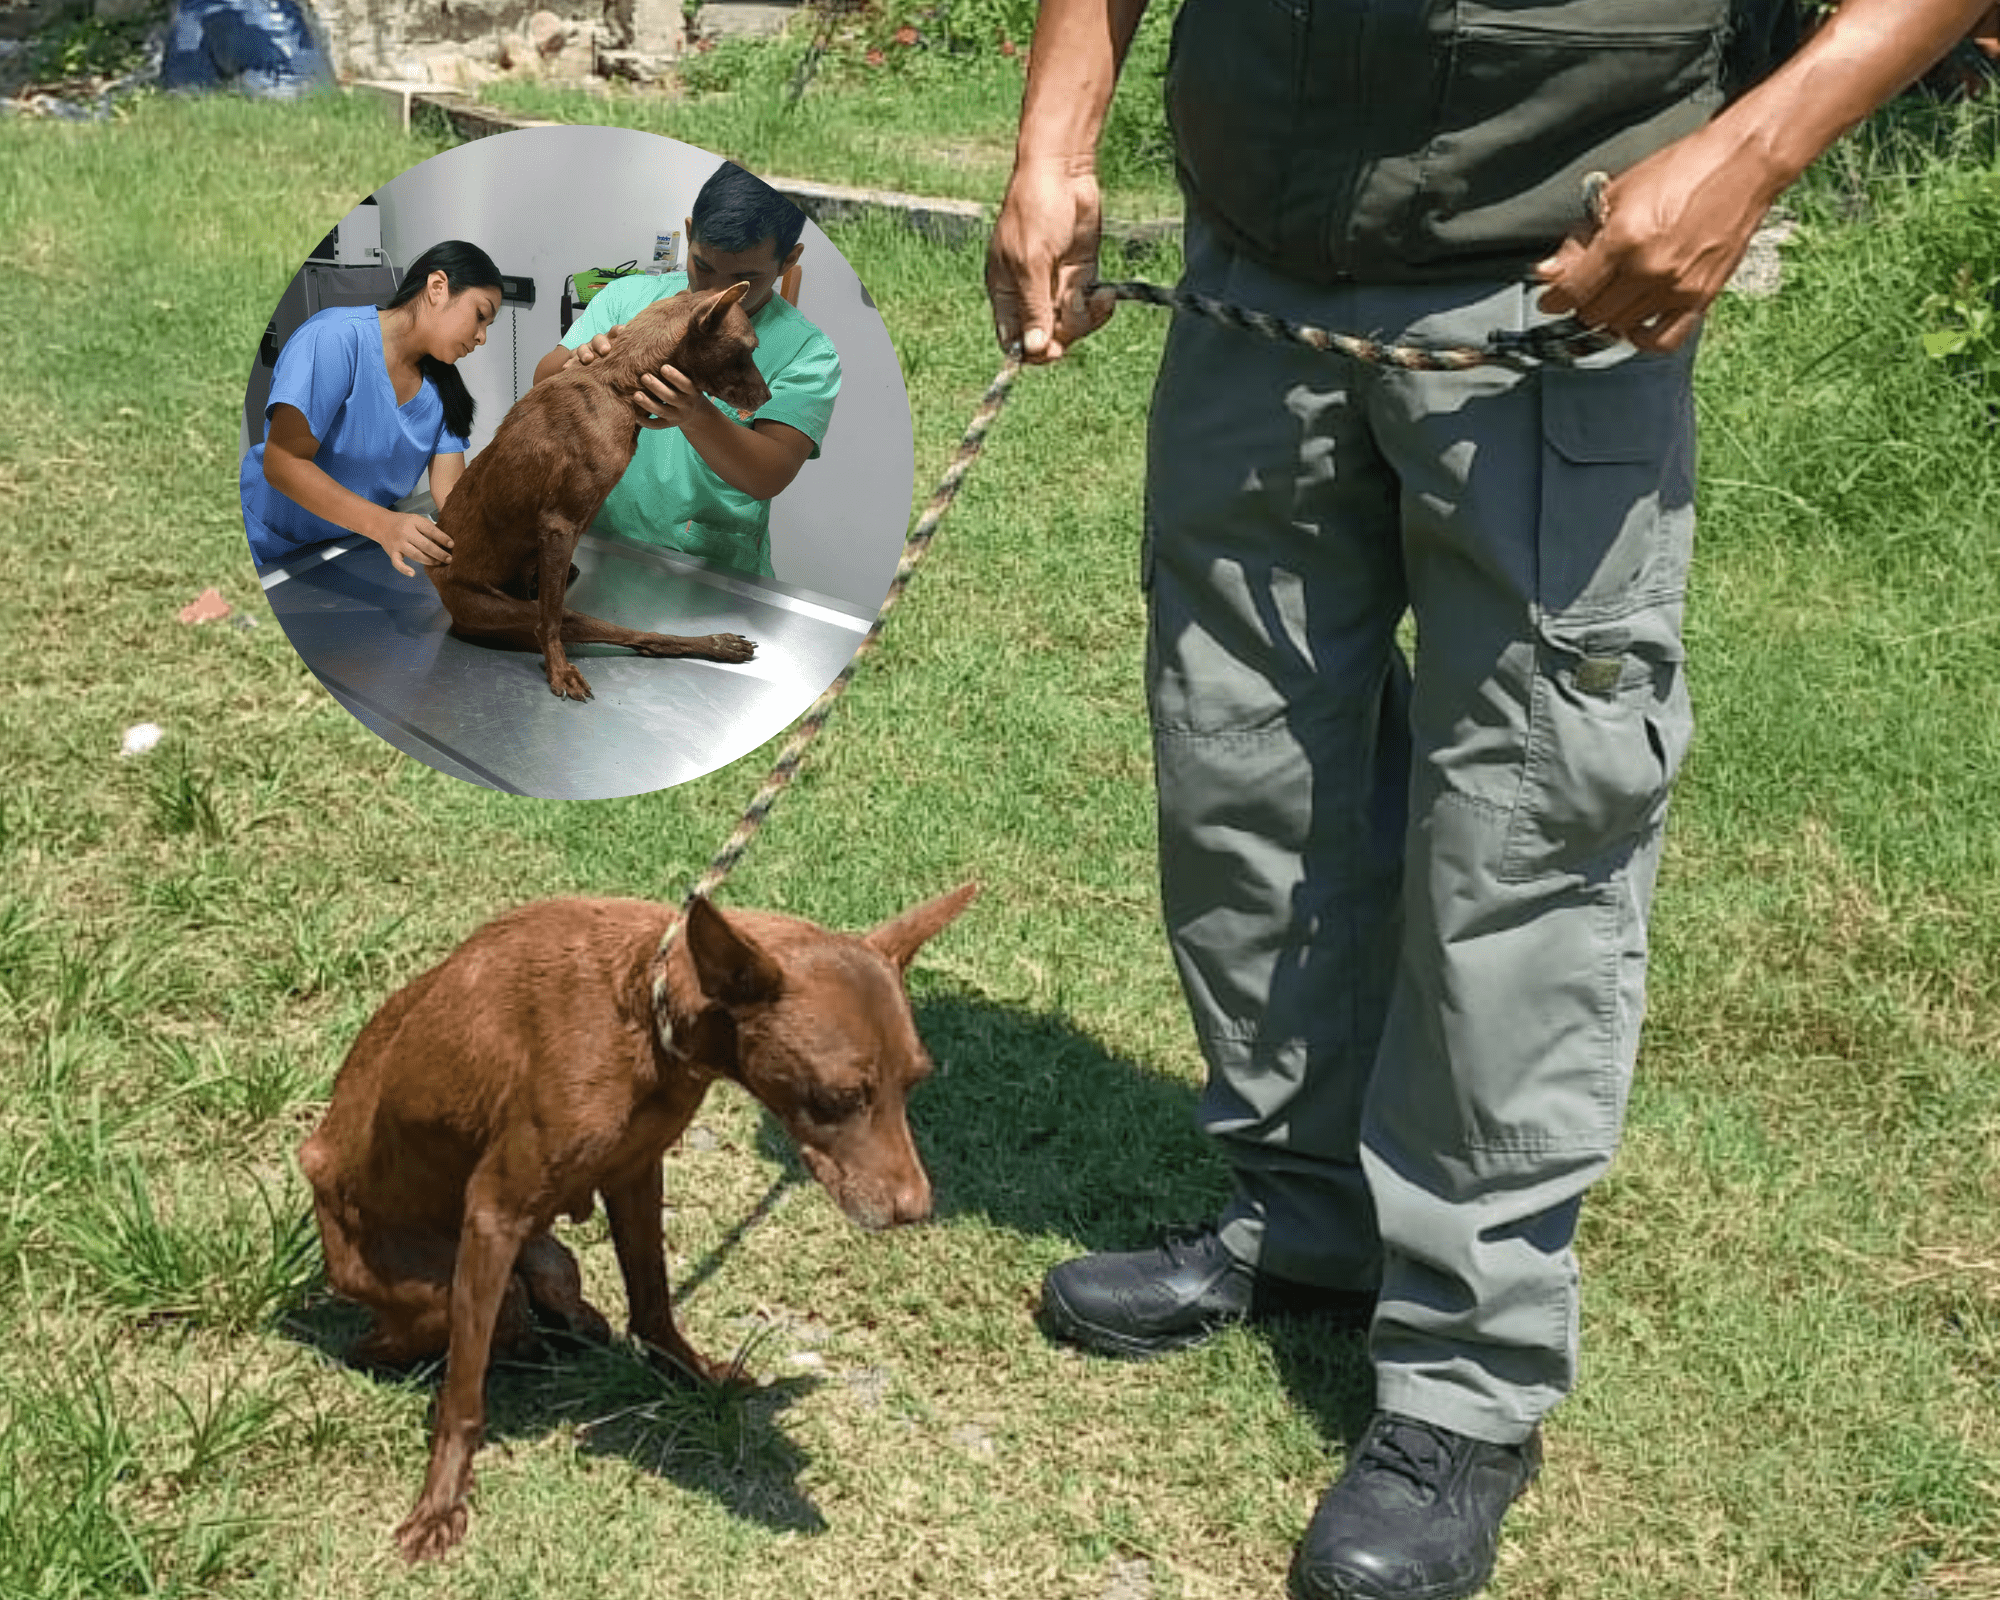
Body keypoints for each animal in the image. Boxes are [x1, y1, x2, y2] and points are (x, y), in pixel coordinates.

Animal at [294, 880, 976, 1560]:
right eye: (839, 1096)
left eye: (916, 1081)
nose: (916, 1211)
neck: (646, 1008)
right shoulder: (494, 1213)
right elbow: (462, 1397)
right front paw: (440, 1501)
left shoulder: (636, 1173)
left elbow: (653, 1300)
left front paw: (690, 1374)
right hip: (438, 1283)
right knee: (405, 1339)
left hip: (553, 1261)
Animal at [432, 280, 772, 700]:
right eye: (748, 350)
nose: (768, 398)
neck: (615, 385)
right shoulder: (559, 526)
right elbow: (549, 623)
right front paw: (558, 670)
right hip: (506, 607)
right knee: (625, 634)